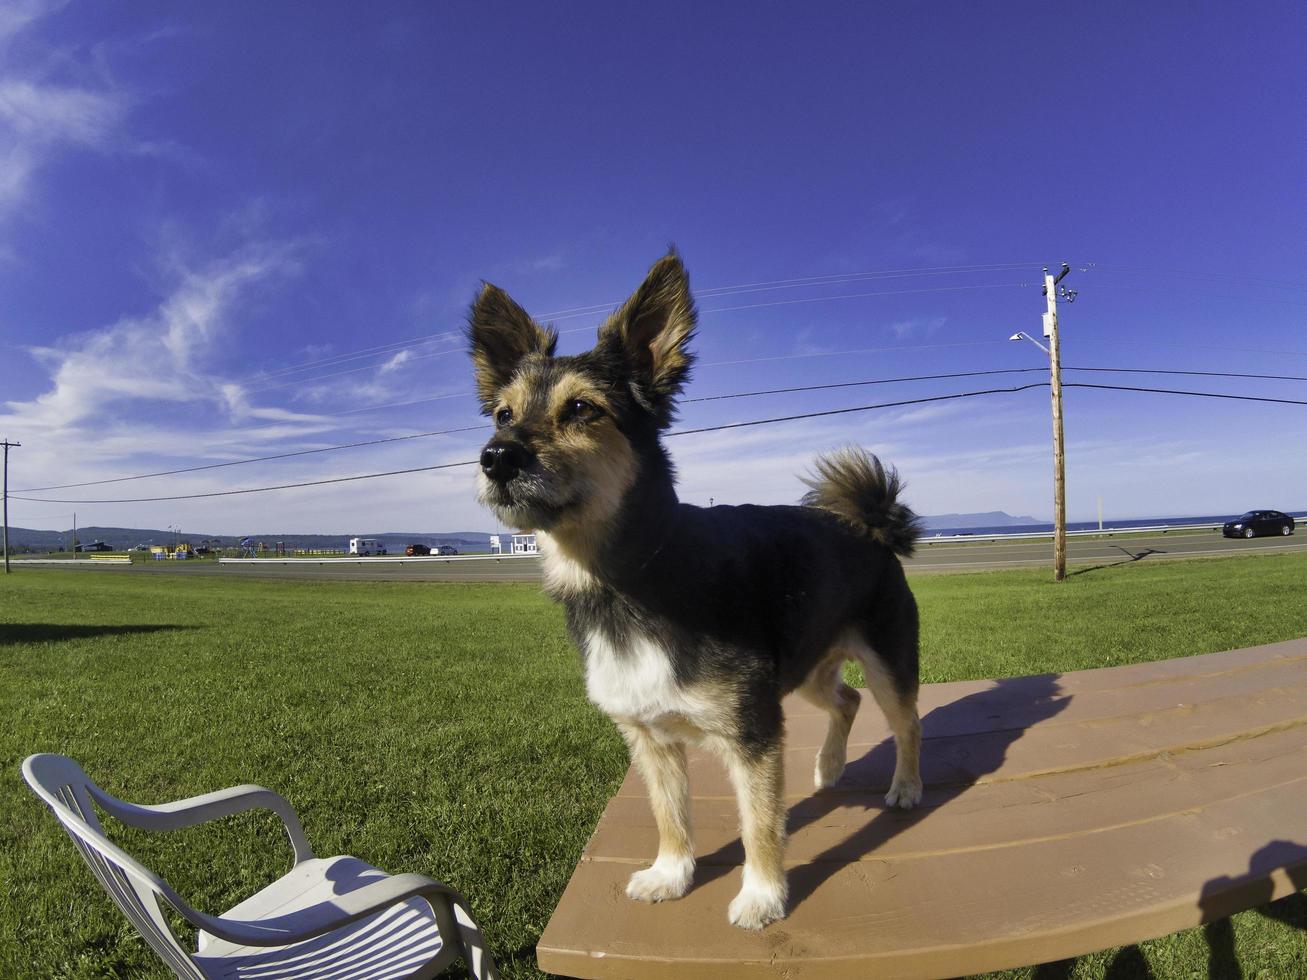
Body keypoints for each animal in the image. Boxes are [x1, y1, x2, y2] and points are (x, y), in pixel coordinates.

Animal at [465, 249, 925, 930]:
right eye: (503, 413)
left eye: (581, 410)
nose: (496, 457)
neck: (628, 579)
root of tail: (870, 526)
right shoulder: (648, 735)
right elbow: (670, 814)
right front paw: (672, 874)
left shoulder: (753, 732)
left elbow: (760, 824)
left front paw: (762, 896)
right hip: (806, 665)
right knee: (846, 700)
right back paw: (829, 765)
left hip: (887, 659)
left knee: (906, 721)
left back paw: (906, 786)